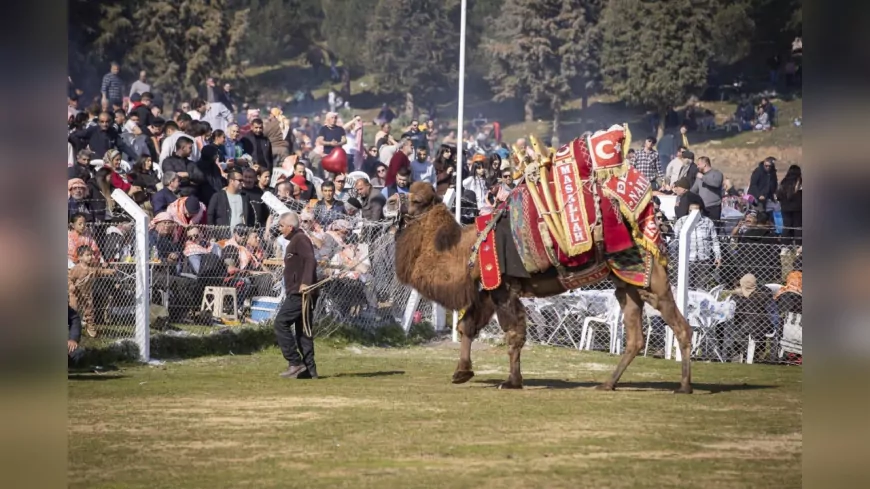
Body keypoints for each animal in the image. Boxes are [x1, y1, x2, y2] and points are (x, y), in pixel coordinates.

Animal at [386, 181, 696, 390]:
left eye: (417, 200)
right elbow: (467, 328)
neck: (464, 251)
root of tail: (648, 222)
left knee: (681, 326)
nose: (389, 201)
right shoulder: (487, 291)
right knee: (635, 337)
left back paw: (684, 387)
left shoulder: (502, 288)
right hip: (627, 284)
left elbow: (513, 335)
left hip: (650, 278)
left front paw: (511, 382)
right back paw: (608, 384)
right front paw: (462, 373)